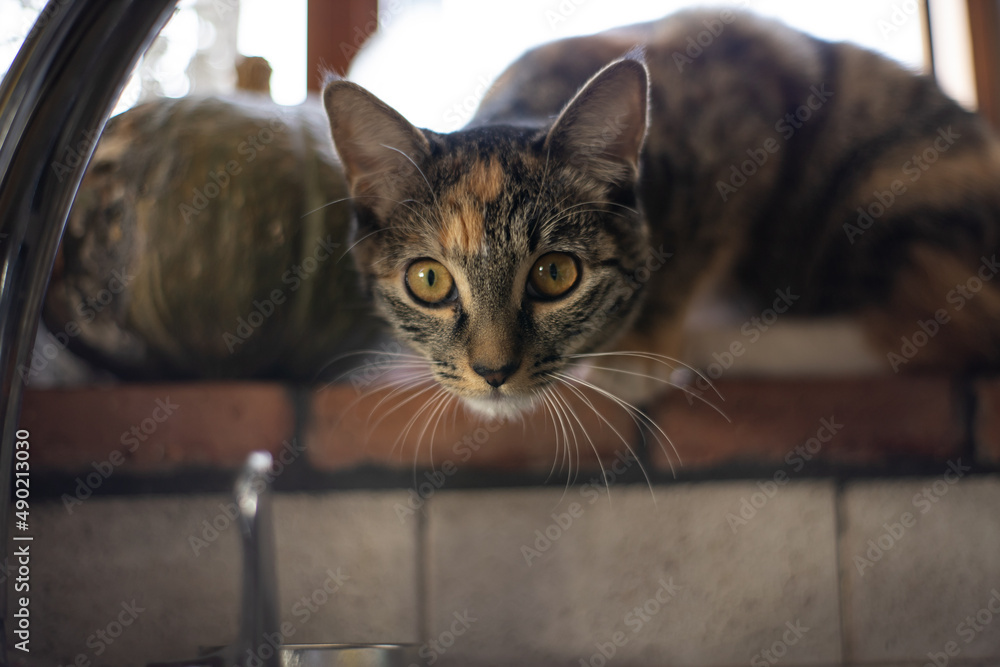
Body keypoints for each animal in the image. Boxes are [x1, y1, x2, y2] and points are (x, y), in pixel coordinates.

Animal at [320, 9, 1000, 418]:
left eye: (554, 274)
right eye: (428, 280)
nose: (492, 371)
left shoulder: (744, 98)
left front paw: (636, 360)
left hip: (898, 189)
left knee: (923, 330)